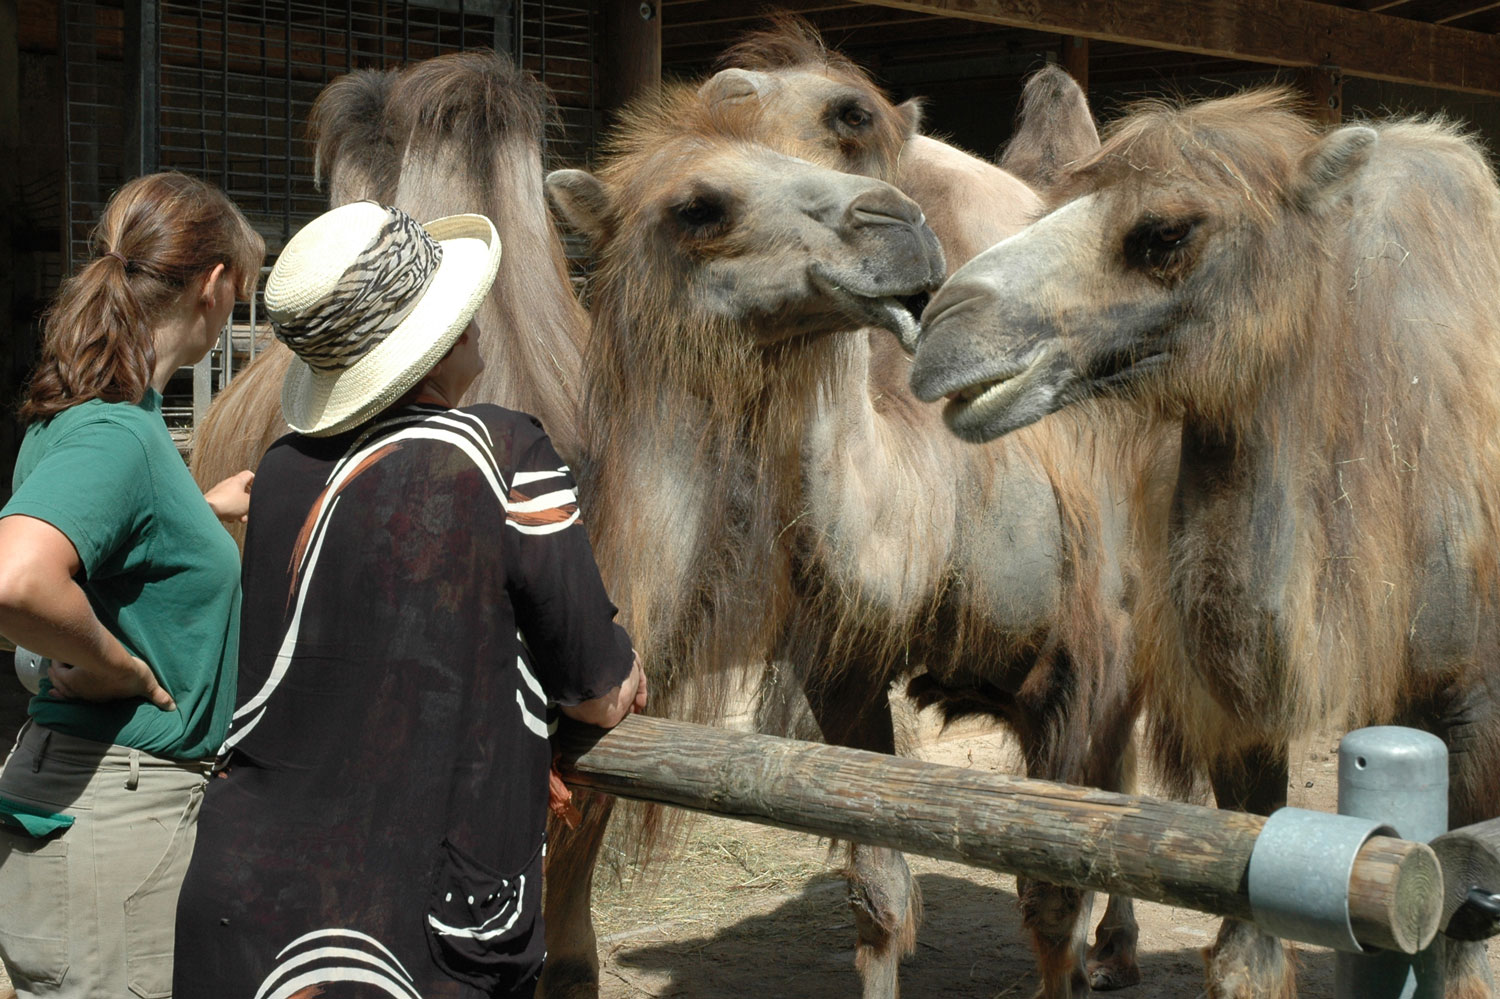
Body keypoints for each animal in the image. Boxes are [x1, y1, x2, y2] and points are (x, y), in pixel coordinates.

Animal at [912, 85, 1500, 996]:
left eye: (1165, 232)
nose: (941, 325)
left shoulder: (1472, 697)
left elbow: (1461, 953)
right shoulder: (1239, 711)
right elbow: (1246, 941)